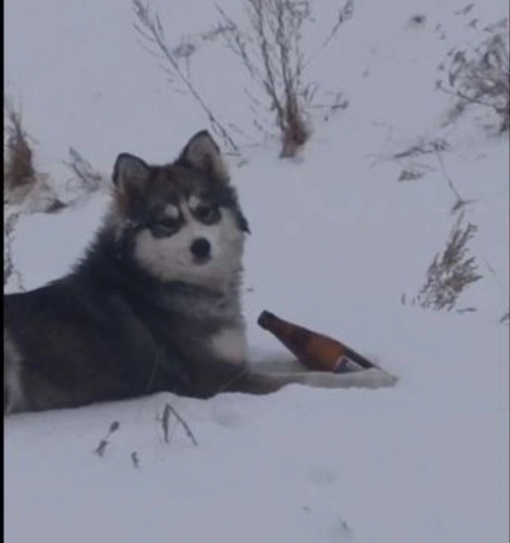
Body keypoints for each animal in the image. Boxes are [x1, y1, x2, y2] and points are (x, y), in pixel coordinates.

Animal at [2, 132, 394, 416]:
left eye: (205, 211)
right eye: (167, 223)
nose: (200, 246)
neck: (156, 286)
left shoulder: (235, 360)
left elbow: (295, 361)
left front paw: (362, 362)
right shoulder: (219, 382)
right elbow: (310, 379)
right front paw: (371, 378)